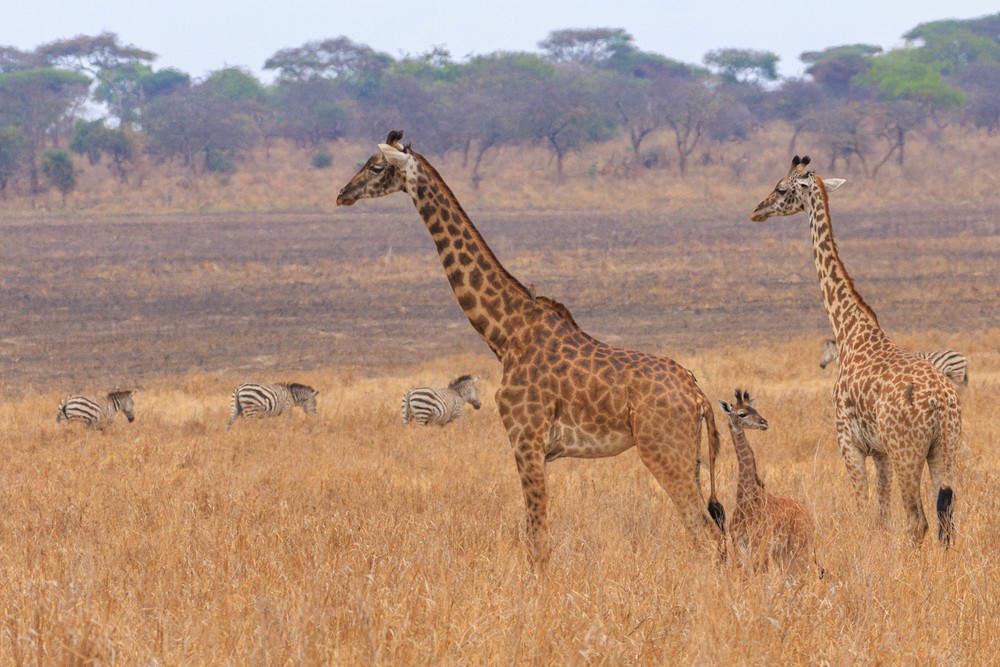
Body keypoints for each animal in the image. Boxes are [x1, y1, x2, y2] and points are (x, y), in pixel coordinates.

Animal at [337, 130, 726, 565]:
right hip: (690, 456)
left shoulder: (526, 439)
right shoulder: (534, 447)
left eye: (375, 166)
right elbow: (533, 535)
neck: (505, 333)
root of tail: (698, 395)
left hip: (662, 450)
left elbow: (538, 540)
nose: (342, 194)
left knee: (706, 532)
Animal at [719, 389, 818, 576]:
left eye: (755, 409)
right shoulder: (738, 544)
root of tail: (809, 514)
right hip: (782, 552)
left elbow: (760, 574)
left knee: (807, 575)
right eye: (742, 414)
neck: (745, 499)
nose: (764, 423)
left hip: (800, 544)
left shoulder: (761, 543)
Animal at [751, 156, 961, 545]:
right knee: (946, 518)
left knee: (918, 520)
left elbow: (864, 511)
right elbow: (880, 515)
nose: (757, 210)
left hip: (907, 450)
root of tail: (941, 402)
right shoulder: (879, 451)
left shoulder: (848, 441)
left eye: (782, 188)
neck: (849, 329)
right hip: (946, 449)